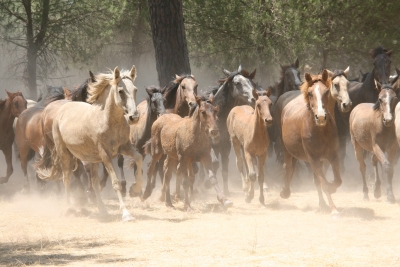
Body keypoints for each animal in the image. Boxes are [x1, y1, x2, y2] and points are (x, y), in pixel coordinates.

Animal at [36, 67, 142, 222]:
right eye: (121, 90)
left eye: (135, 89)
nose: (133, 117)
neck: (108, 120)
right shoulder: (105, 155)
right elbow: (115, 182)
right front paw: (126, 213)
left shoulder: (124, 147)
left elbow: (139, 158)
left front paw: (136, 189)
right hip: (64, 153)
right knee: (66, 177)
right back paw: (69, 208)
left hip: (92, 159)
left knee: (94, 182)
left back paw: (102, 211)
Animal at [282, 70, 344, 215]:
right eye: (310, 93)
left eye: (326, 92)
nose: (320, 117)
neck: (320, 132)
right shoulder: (313, 159)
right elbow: (324, 184)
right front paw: (333, 209)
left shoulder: (333, 156)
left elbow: (336, 181)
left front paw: (332, 190)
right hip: (288, 151)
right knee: (288, 167)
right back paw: (285, 192)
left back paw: (322, 204)